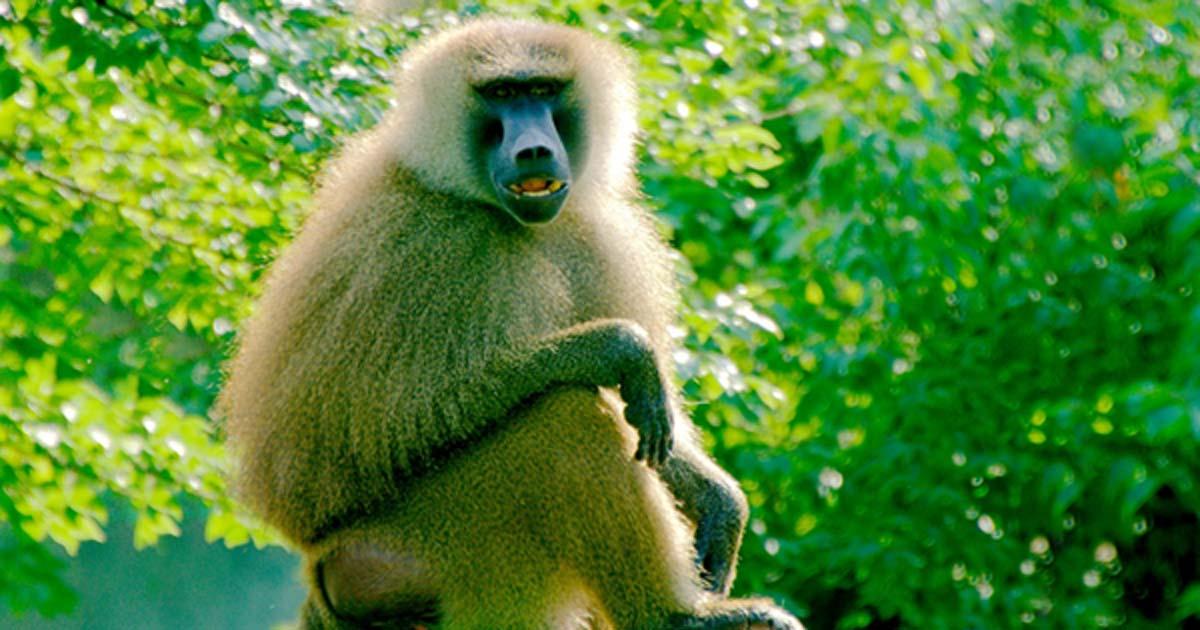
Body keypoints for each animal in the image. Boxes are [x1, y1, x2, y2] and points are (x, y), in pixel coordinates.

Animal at [219, 18, 803, 630]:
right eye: (501, 93)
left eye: (541, 90)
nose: (535, 149)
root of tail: (323, 572)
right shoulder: (435, 245)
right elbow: (404, 419)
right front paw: (621, 349)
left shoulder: (594, 234)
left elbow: (654, 434)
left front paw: (719, 500)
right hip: (428, 545)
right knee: (563, 418)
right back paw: (676, 617)